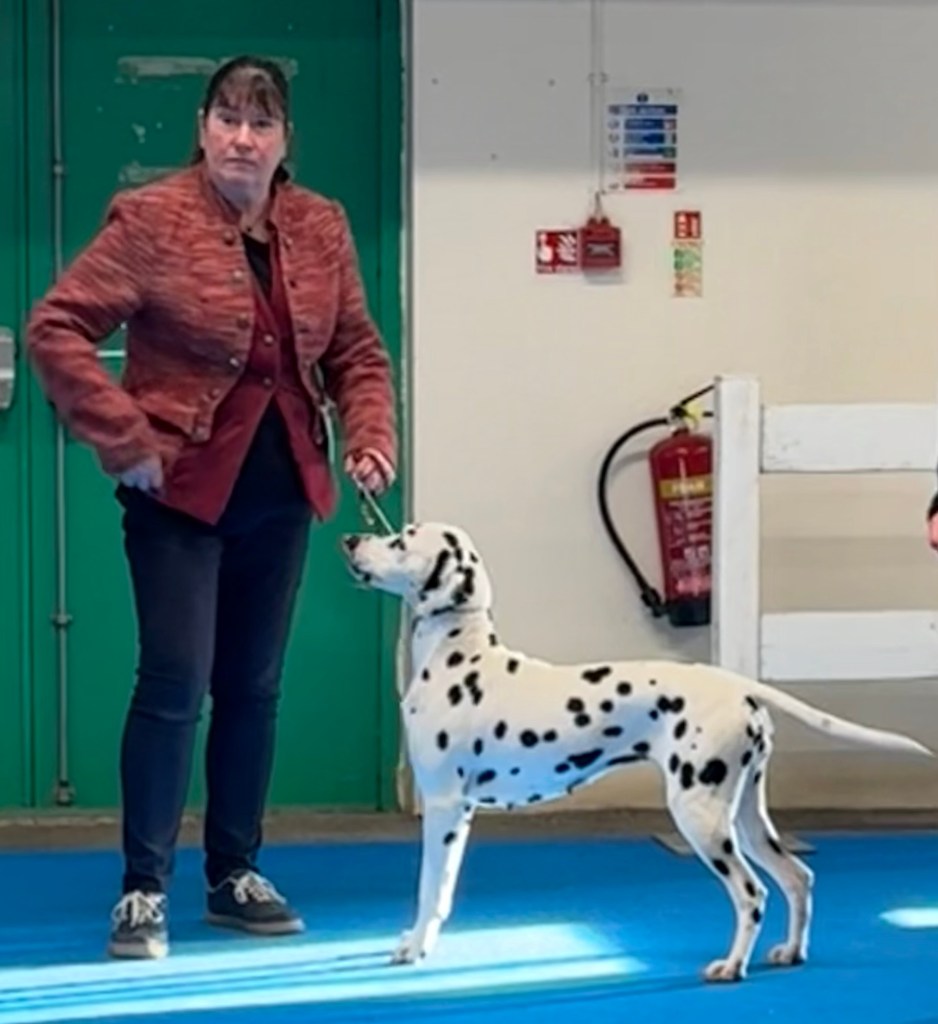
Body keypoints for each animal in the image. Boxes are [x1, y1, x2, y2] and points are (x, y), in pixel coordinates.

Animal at [341, 521, 932, 982]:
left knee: (752, 894)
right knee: (796, 878)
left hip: (700, 816)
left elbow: (429, 889)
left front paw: (415, 948)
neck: (457, 655)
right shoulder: (457, 811)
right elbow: (440, 892)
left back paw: (731, 966)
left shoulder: (444, 808)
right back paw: (789, 952)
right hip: (745, 817)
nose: (350, 539)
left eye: (401, 540)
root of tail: (740, 688)